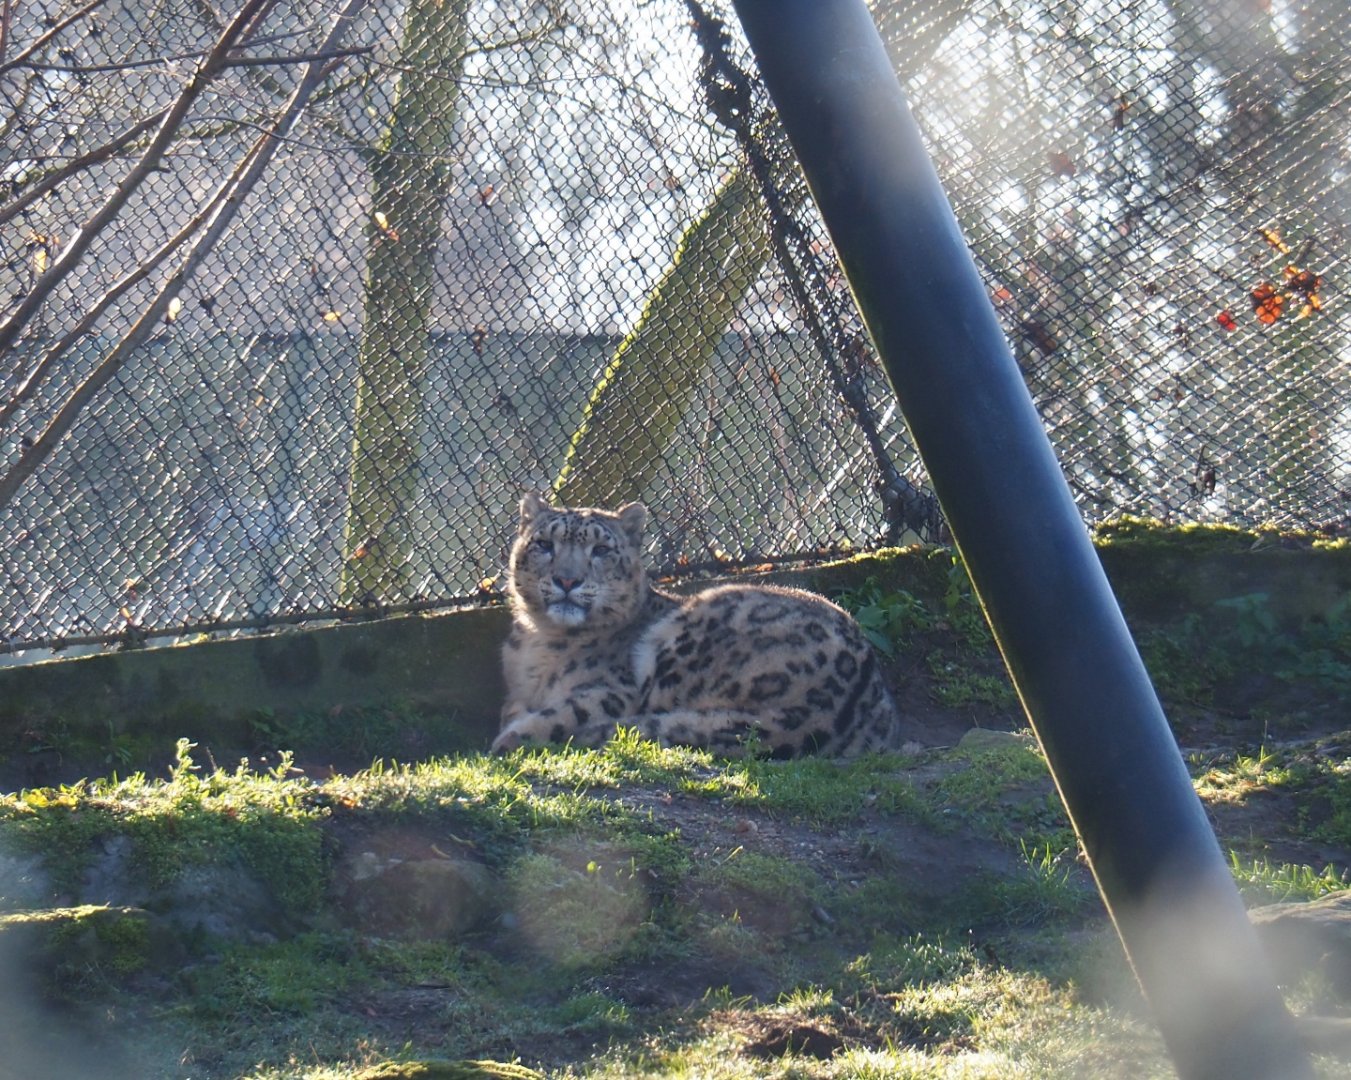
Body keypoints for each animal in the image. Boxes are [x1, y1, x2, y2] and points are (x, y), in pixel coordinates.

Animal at [492, 493, 902, 758]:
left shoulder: (613, 690)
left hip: (683, 645)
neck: (541, 641)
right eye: (544, 544)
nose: (567, 580)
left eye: (602, 550)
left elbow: (563, 713)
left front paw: (511, 739)